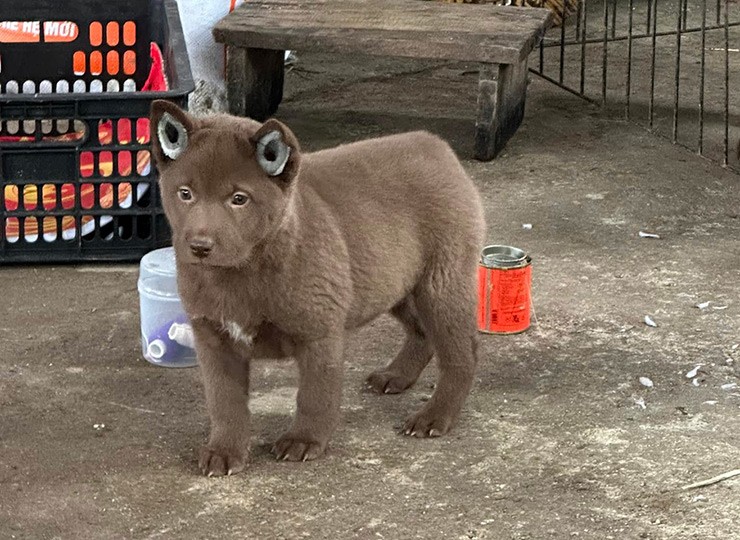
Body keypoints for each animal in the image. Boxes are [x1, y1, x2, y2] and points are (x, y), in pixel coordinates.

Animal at [150, 99, 486, 474]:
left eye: (239, 199)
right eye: (185, 194)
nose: (199, 246)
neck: (242, 271)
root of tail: (435, 146)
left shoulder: (319, 334)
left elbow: (314, 396)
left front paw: (304, 441)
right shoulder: (213, 339)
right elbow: (225, 402)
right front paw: (225, 450)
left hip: (441, 282)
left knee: (462, 352)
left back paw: (435, 416)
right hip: (395, 281)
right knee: (422, 331)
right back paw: (396, 376)